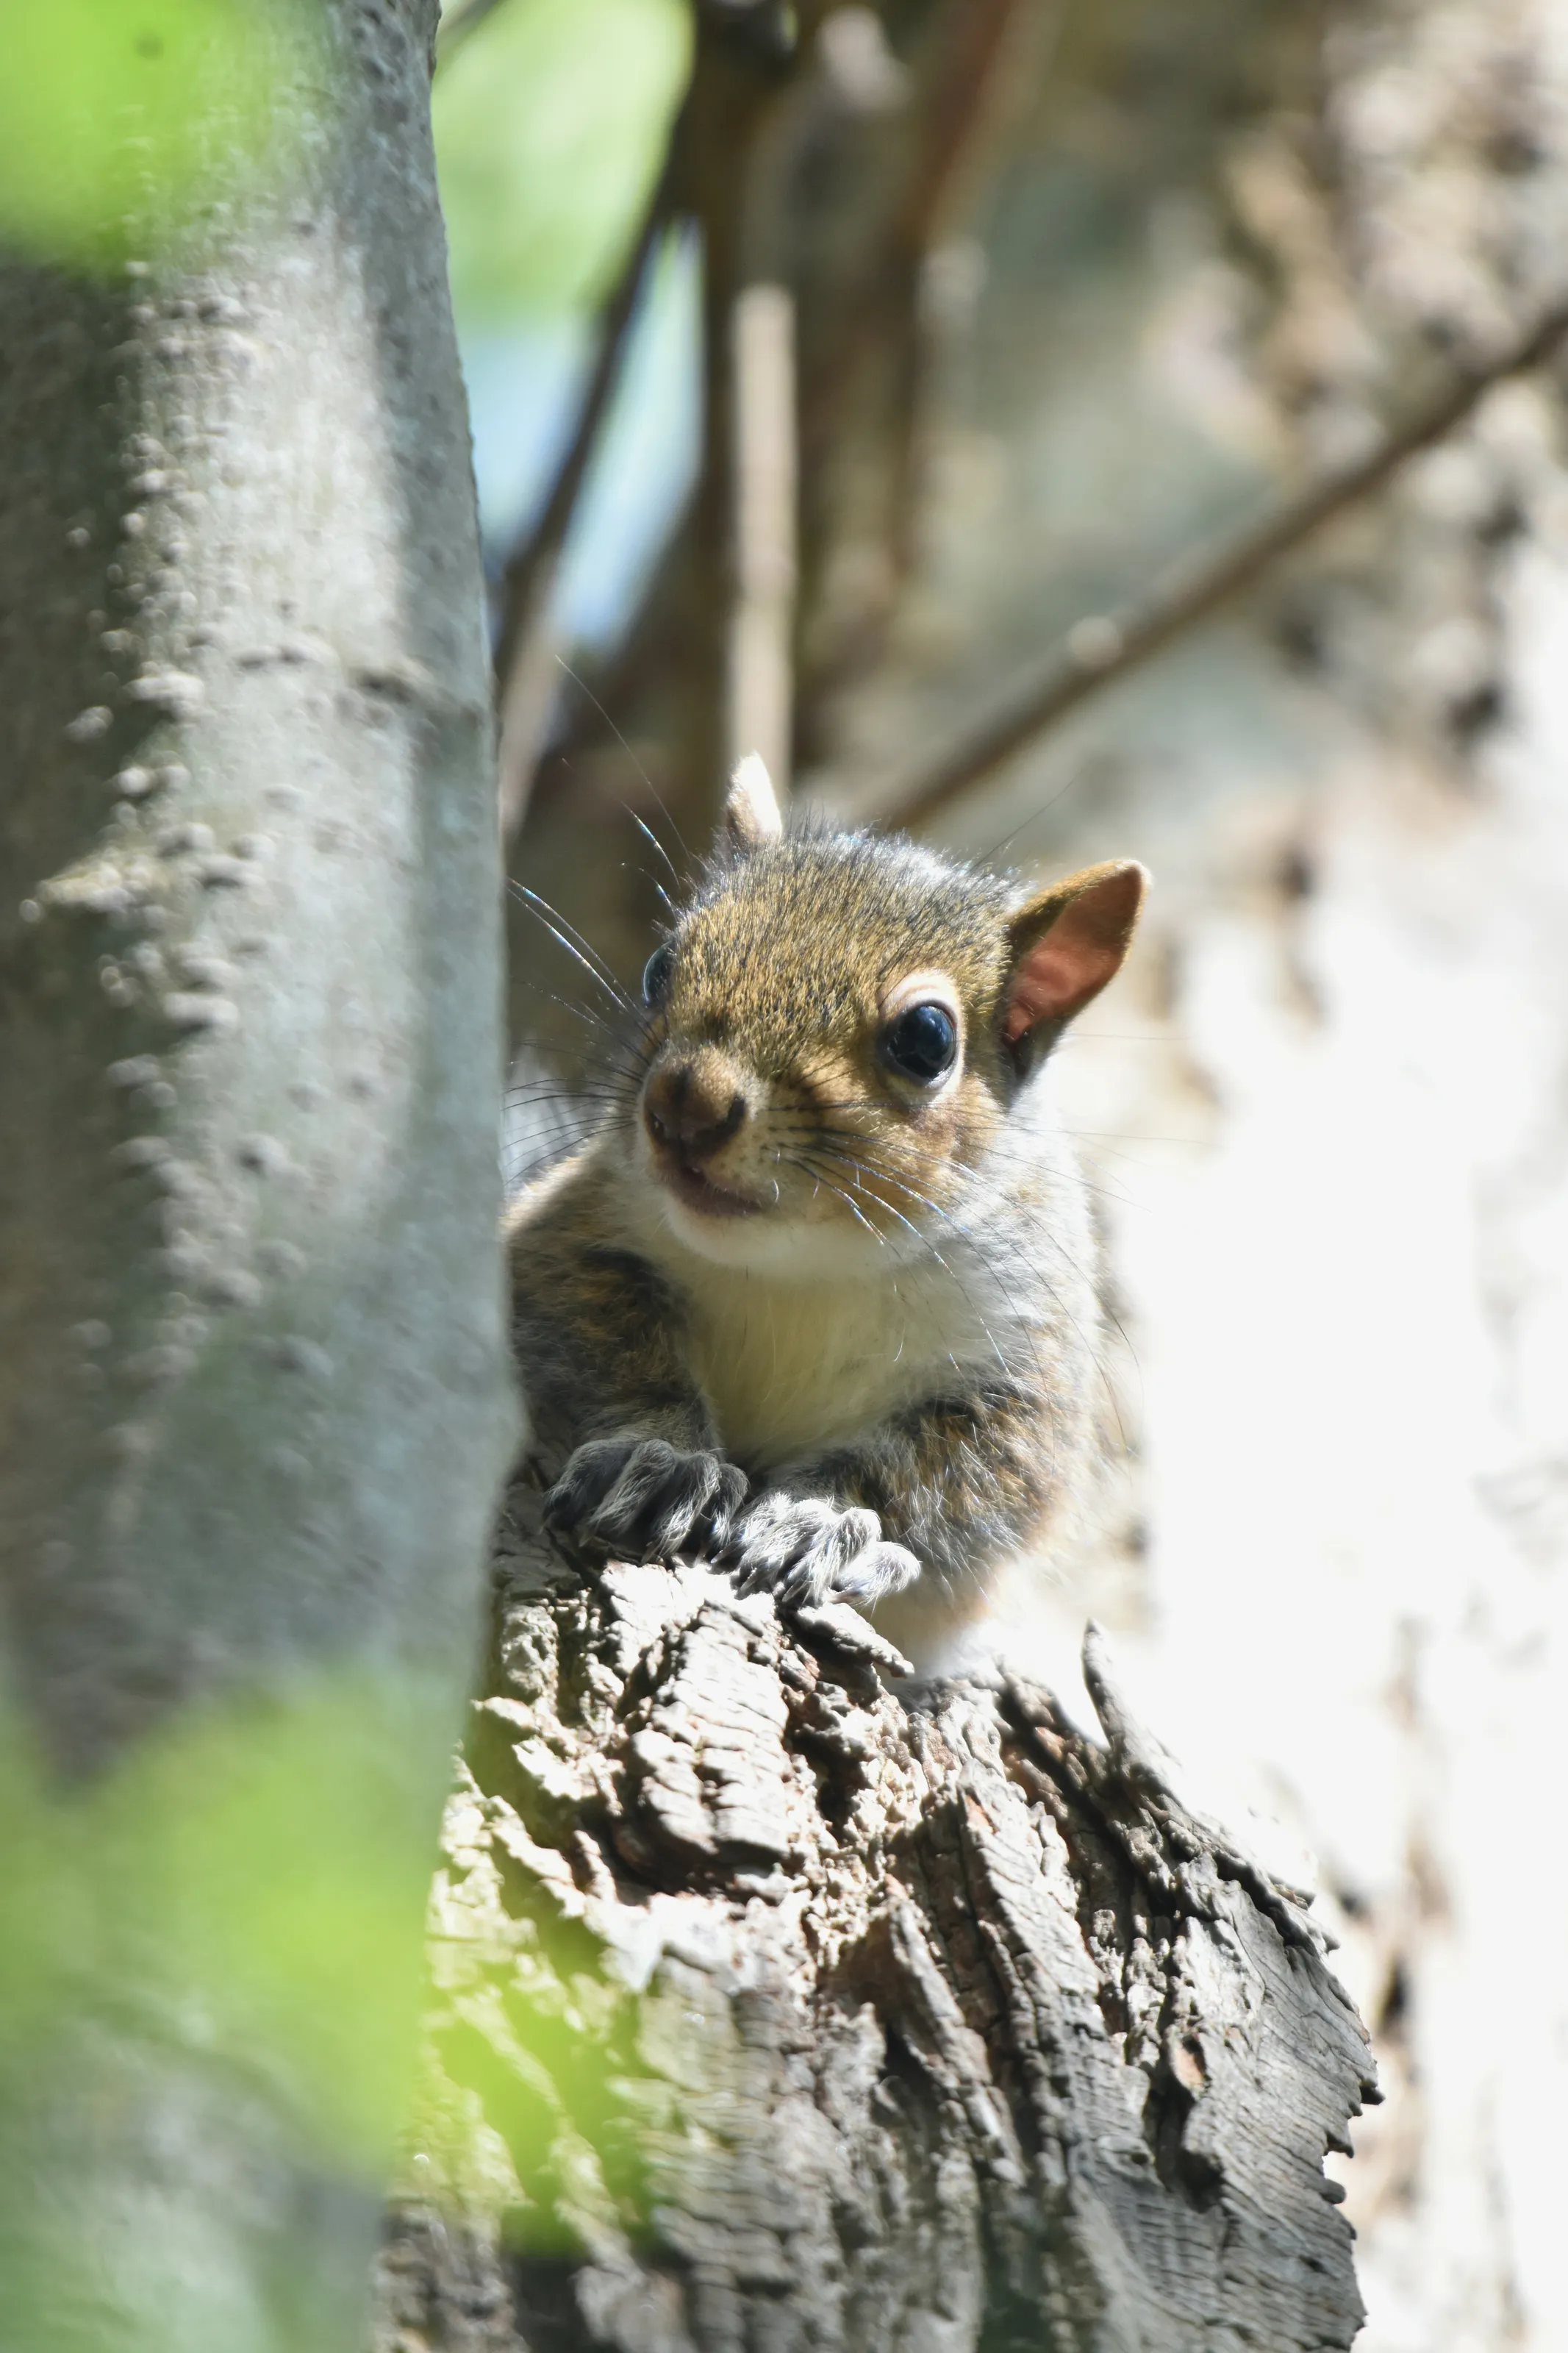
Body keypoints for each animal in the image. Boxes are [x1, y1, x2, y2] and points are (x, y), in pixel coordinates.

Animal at [505, 755, 1147, 1664]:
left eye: (927, 1038)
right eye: (661, 965)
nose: (686, 1102)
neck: (806, 1263)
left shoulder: (1021, 1377)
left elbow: (952, 1476)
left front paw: (820, 1518)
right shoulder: (571, 1237)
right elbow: (603, 1348)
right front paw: (656, 1454)